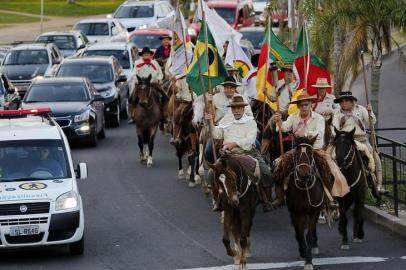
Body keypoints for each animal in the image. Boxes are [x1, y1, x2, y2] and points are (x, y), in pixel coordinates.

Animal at [274, 137, 326, 270]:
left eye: (310, 154)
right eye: (297, 155)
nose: (304, 174)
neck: (305, 187)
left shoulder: (314, 211)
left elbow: (309, 235)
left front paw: (308, 261)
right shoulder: (295, 212)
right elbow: (300, 232)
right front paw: (303, 252)